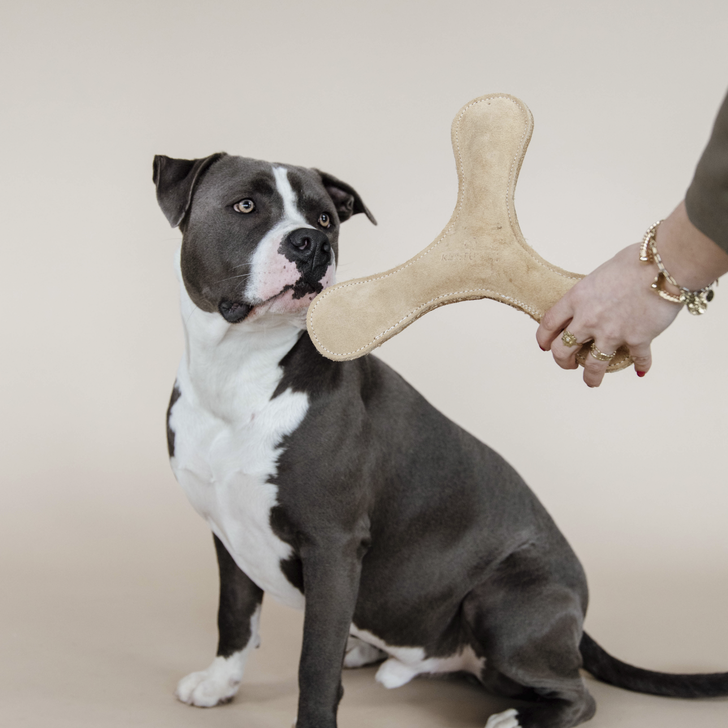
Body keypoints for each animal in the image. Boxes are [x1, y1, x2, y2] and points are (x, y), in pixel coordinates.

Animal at [154, 154, 728, 728]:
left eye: (324, 220)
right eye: (245, 205)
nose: (310, 244)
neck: (239, 371)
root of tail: (579, 617)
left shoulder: (333, 546)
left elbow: (314, 663)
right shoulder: (228, 531)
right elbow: (235, 616)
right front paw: (219, 683)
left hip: (500, 599)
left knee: (580, 696)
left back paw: (515, 718)